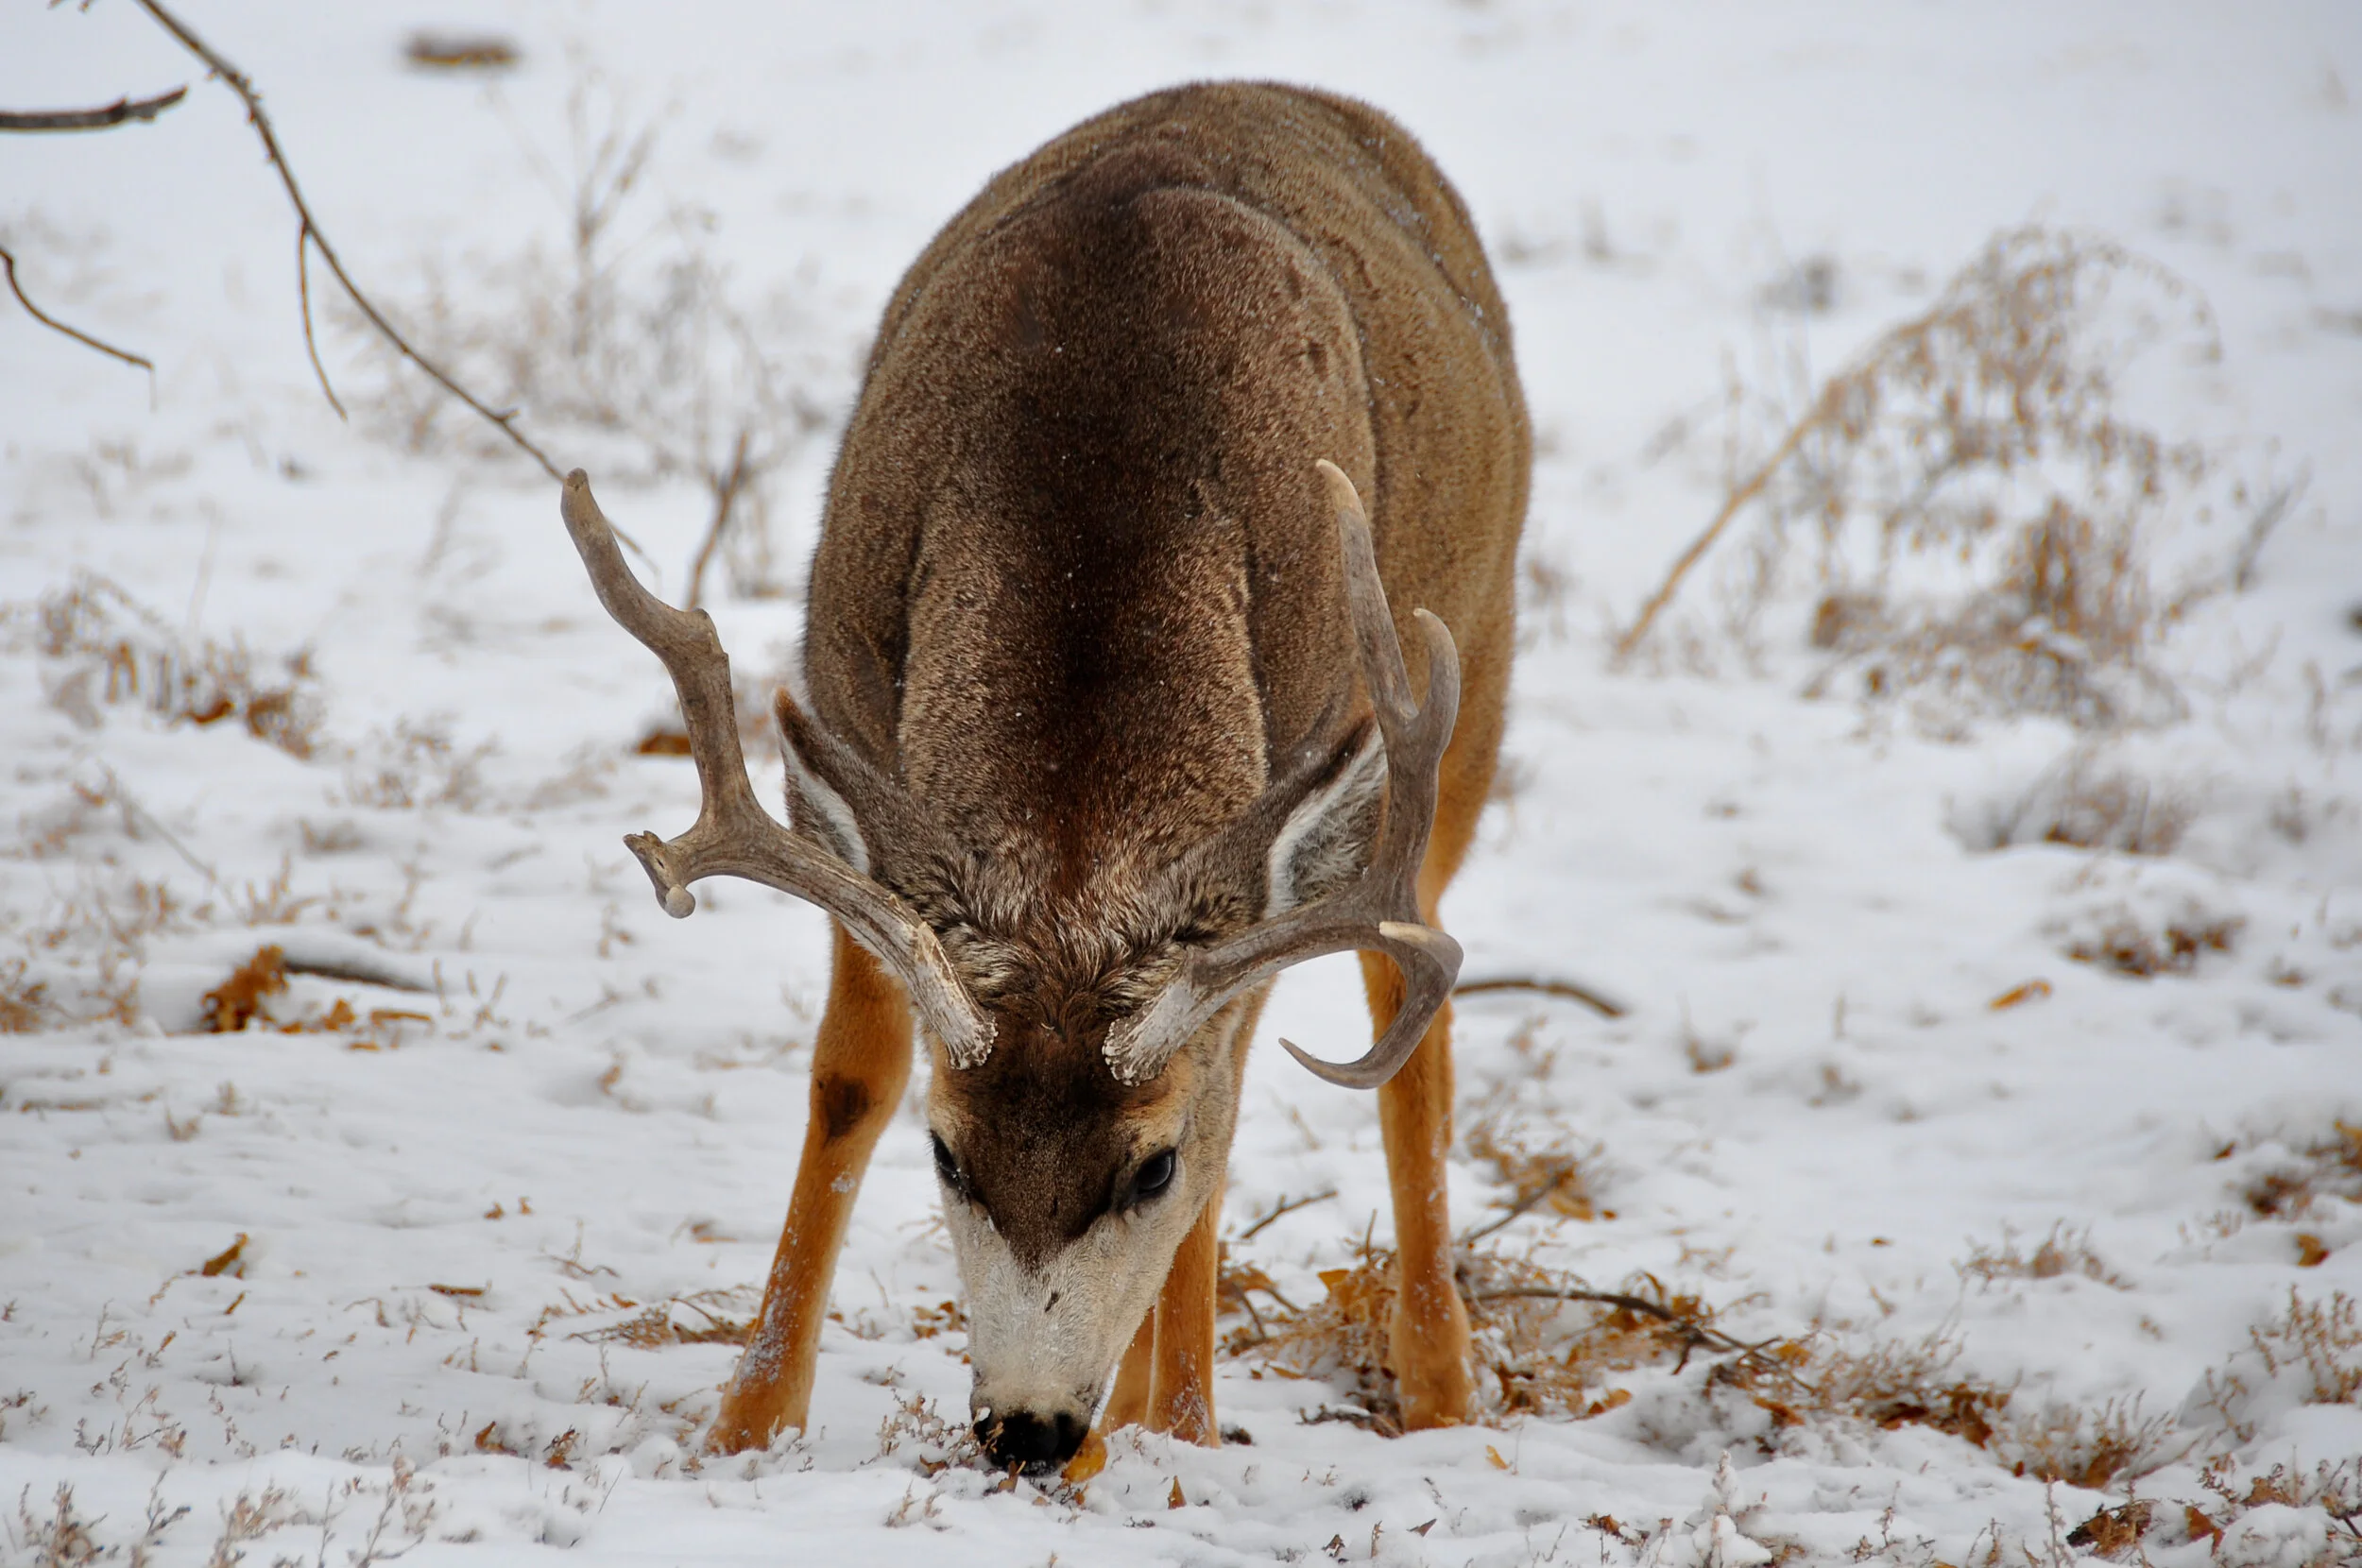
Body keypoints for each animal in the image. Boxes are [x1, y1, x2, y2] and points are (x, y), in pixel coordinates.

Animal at [554, 81, 1528, 1472]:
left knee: (1407, 994)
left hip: (1471, 680)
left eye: (1147, 1167)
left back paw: (1423, 1395)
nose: (1026, 1427)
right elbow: (850, 1079)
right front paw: (747, 1420)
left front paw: (1174, 1434)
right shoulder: (864, 759)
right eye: (951, 1155)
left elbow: (1226, 1124)